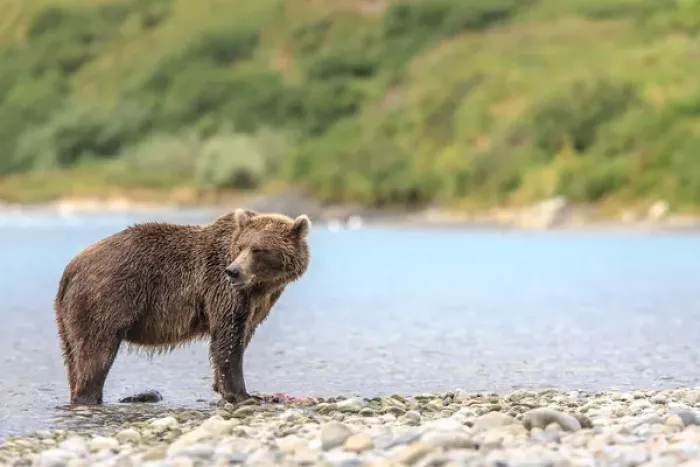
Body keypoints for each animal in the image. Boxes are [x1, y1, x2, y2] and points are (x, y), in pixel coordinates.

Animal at [53, 208, 311, 405]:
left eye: (258, 249)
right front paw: (243, 394)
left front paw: (223, 386)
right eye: (240, 246)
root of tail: (70, 268)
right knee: (95, 356)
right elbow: (228, 337)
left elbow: (241, 334)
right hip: (106, 299)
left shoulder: (258, 302)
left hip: (68, 318)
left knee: (74, 359)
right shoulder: (222, 289)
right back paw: (88, 397)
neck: (261, 286)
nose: (233, 271)